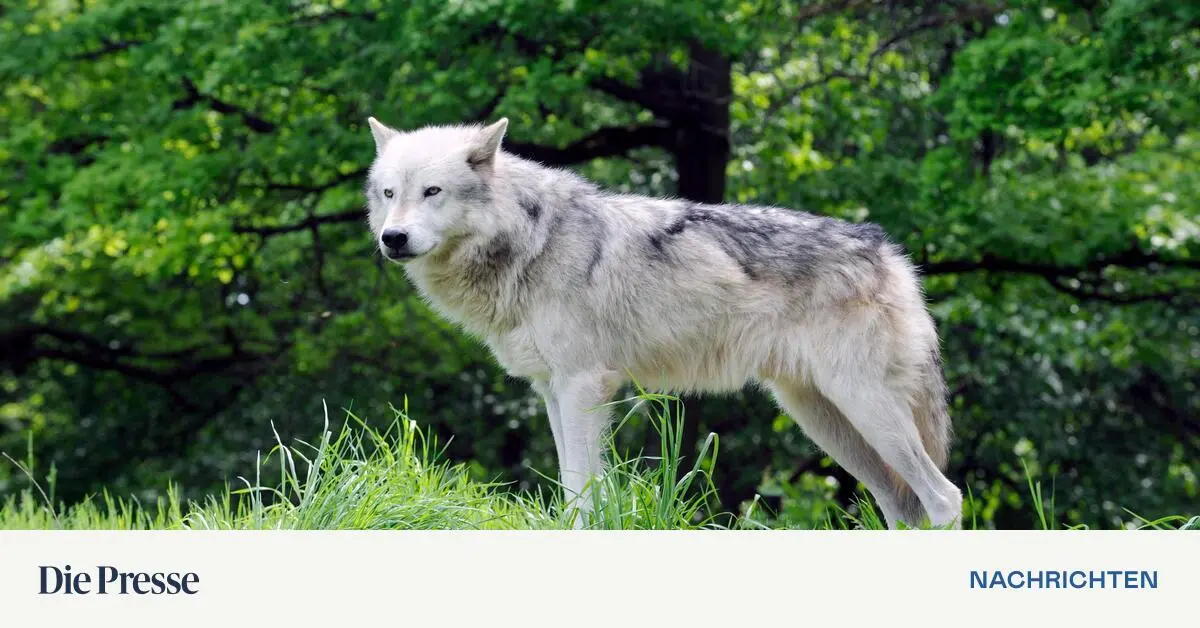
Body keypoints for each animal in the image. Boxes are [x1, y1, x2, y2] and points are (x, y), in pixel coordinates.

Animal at [363, 116, 963, 529]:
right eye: (390, 193)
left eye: (433, 192)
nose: (392, 238)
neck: (531, 240)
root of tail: (890, 254)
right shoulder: (552, 391)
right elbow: (570, 485)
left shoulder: (584, 387)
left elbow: (584, 490)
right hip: (825, 420)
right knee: (901, 504)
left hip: (863, 409)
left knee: (944, 498)